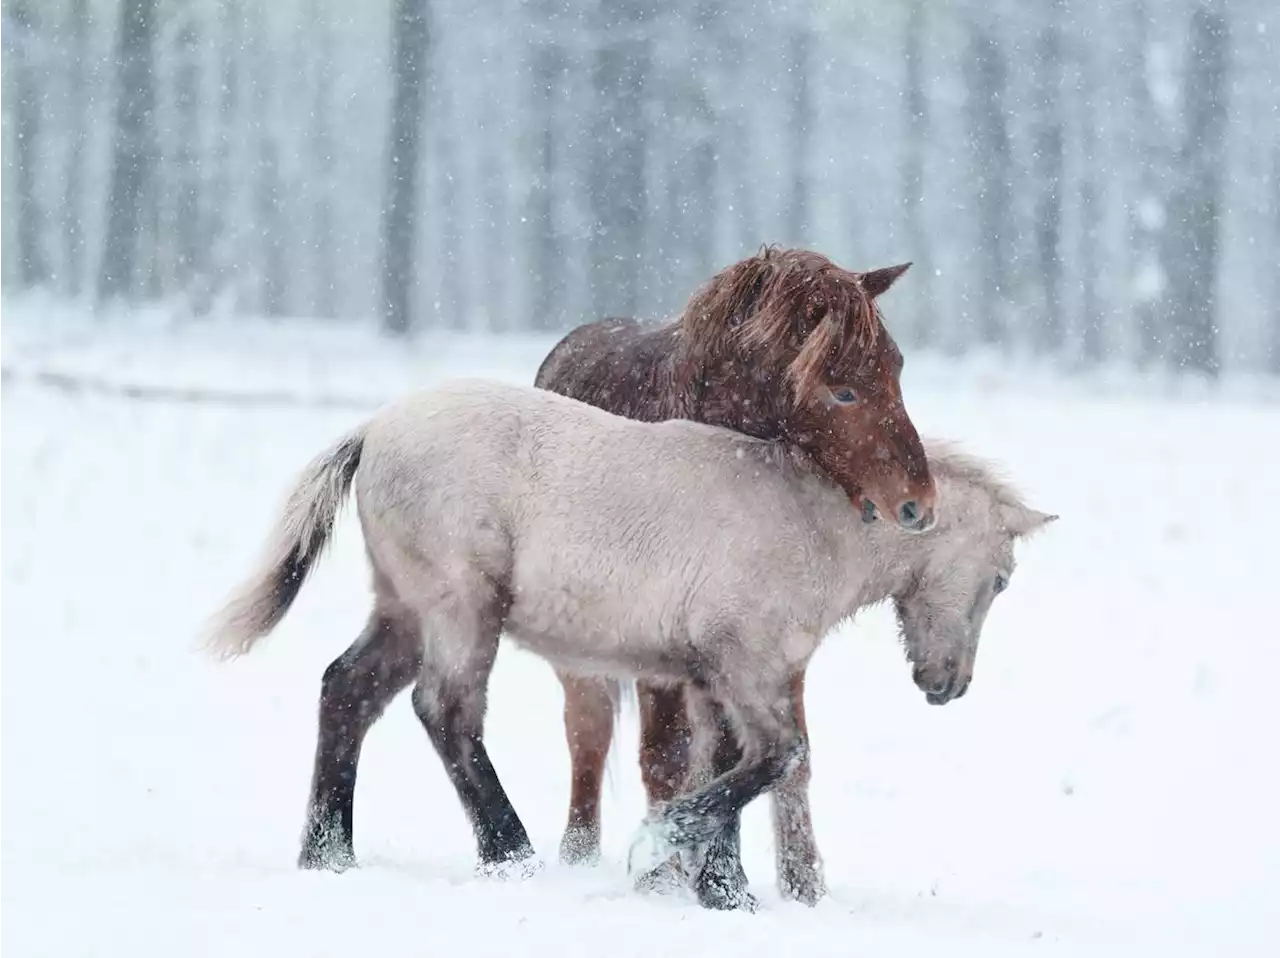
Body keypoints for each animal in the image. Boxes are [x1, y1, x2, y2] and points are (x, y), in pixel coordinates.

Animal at [535, 244, 936, 906]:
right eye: (841, 390)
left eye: (898, 368)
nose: (919, 505)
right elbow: (668, 758)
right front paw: (676, 879)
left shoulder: (757, 650)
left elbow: (754, 757)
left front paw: (734, 883)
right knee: (588, 738)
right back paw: (580, 857)